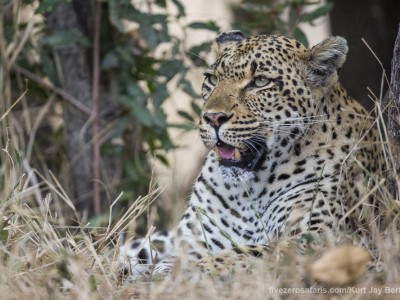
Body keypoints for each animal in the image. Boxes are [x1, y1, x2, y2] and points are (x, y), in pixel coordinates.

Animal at [119, 29, 384, 278]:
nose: (213, 117)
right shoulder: (194, 238)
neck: (251, 191)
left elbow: (247, 253)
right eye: (212, 79)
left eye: (260, 82)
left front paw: (172, 272)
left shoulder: (321, 238)